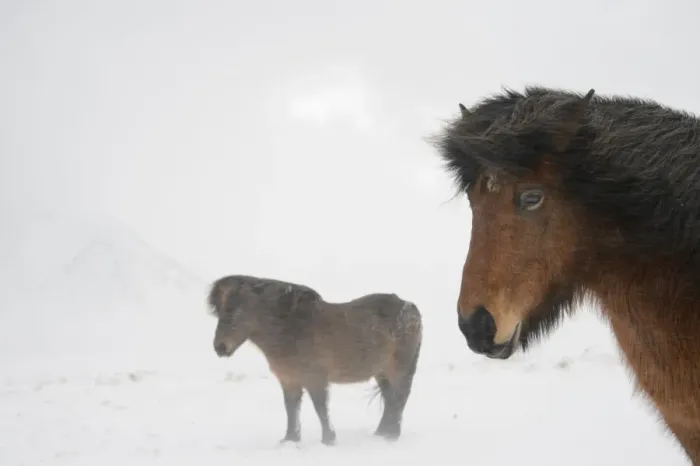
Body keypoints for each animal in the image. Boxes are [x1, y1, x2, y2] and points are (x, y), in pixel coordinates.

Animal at [207, 274, 423, 446]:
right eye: (219, 312)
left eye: (237, 311)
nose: (220, 347)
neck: (290, 329)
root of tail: (411, 308)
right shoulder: (289, 380)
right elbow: (291, 409)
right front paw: (290, 440)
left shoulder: (316, 379)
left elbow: (320, 408)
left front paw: (328, 440)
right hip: (381, 372)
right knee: (390, 399)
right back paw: (381, 433)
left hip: (401, 368)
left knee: (400, 398)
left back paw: (391, 436)